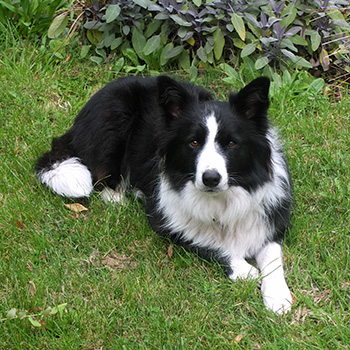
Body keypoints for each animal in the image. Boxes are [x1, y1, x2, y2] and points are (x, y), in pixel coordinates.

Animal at [35, 75, 292, 314]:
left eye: (231, 143)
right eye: (193, 142)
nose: (210, 178)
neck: (221, 202)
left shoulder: (271, 222)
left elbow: (272, 257)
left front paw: (278, 296)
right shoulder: (167, 222)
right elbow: (206, 243)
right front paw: (244, 270)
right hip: (114, 119)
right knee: (97, 175)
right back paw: (117, 197)